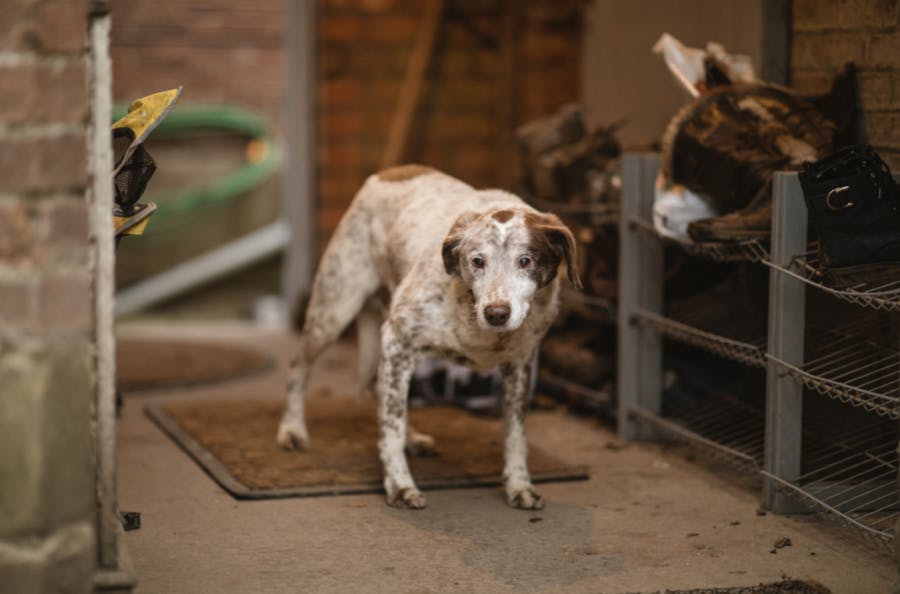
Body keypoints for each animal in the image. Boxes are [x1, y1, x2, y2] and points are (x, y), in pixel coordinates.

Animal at [278, 164, 580, 506]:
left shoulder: (519, 365)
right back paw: (292, 429)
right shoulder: (397, 339)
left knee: (382, 391)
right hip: (334, 311)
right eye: (477, 261)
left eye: (525, 260)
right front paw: (400, 484)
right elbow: (391, 428)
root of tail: (390, 171)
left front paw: (519, 486)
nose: (496, 313)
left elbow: (516, 435)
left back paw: (413, 439)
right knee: (300, 366)